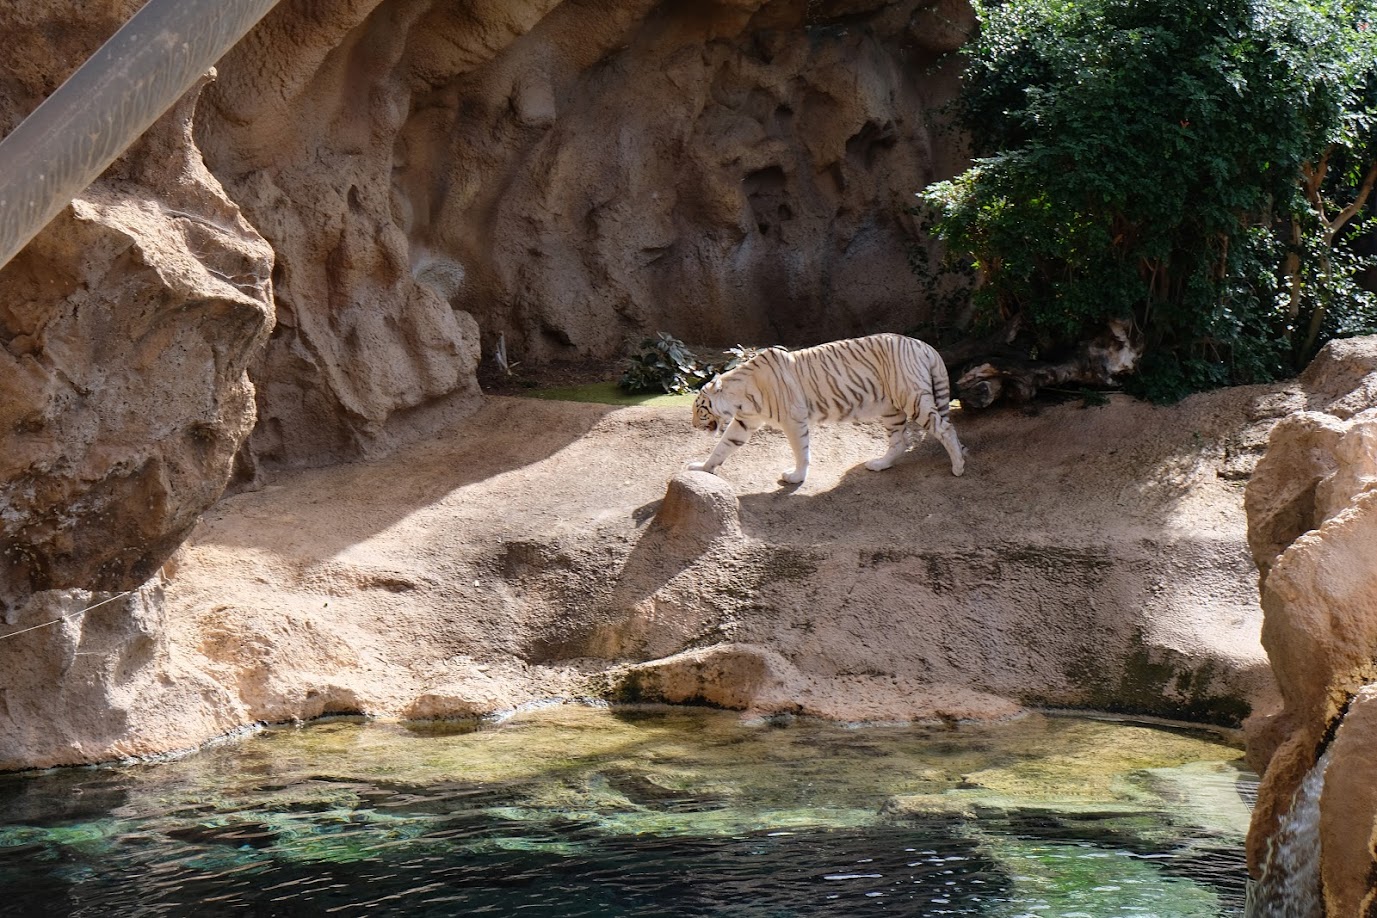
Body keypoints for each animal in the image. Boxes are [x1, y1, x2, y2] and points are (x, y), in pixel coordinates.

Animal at [688, 331, 969, 487]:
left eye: (699, 408)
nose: (693, 425)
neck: (740, 396)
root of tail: (924, 345)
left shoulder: (793, 420)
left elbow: (801, 451)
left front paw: (796, 477)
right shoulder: (744, 421)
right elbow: (723, 446)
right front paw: (701, 468)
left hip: (912, 398)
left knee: (945, 427)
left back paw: (958, 467)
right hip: (891, 409)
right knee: (899, 442)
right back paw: (879, 464)